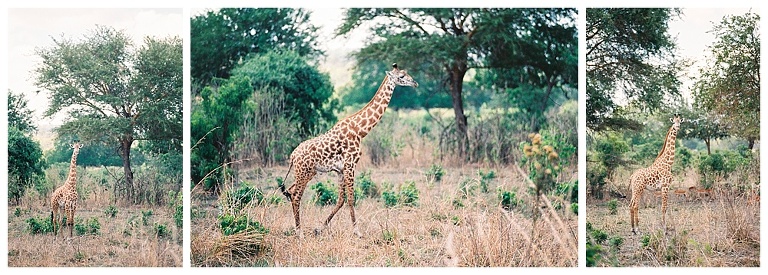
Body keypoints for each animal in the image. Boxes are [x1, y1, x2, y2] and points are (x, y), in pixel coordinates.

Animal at [278, 62, 416, 237]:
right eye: (402, 76)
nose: (415, 83)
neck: (360, 130)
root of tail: (292, 156)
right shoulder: (351, 164)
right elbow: (351, 198)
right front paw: (357, 231)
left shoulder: (340, 170)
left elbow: (341, 199)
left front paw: (320, 228)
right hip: (304, 171)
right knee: (296, 196)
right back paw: (299, 232)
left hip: (308, 172)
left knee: (290, 191)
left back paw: (298, 229)